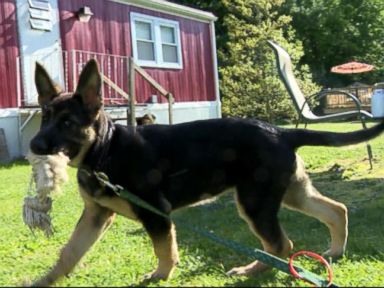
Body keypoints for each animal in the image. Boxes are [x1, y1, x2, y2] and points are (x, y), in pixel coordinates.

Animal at [30, 59, 384, 286]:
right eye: (44, 117)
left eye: (67, 123)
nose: (34, 145)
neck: (104, 151)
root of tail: (282, 132)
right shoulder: (95, 215)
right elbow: (69, 251)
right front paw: (45, 280)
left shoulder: (156, 213)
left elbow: (164, 250)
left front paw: (160, 276)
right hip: (290, 192)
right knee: (335, 210)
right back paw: (334, 250)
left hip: (255, 202)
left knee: (281, 244)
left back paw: (252, 270)